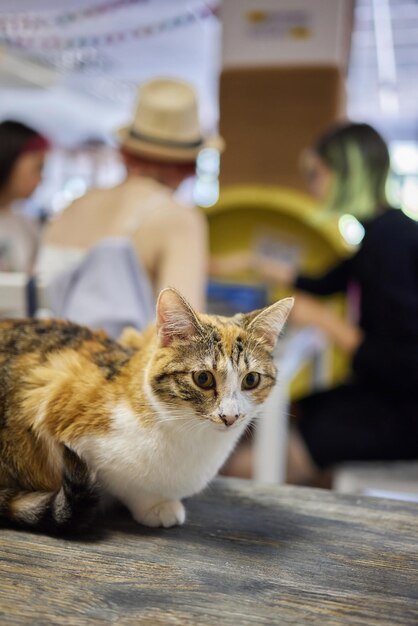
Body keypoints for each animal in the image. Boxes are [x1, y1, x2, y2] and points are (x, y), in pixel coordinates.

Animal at [0, 288, 294, 532]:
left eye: (251, 380)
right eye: (203, 378)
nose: (230, 417)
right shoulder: (49, 392)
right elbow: (123, 481)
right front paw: (156, 505)